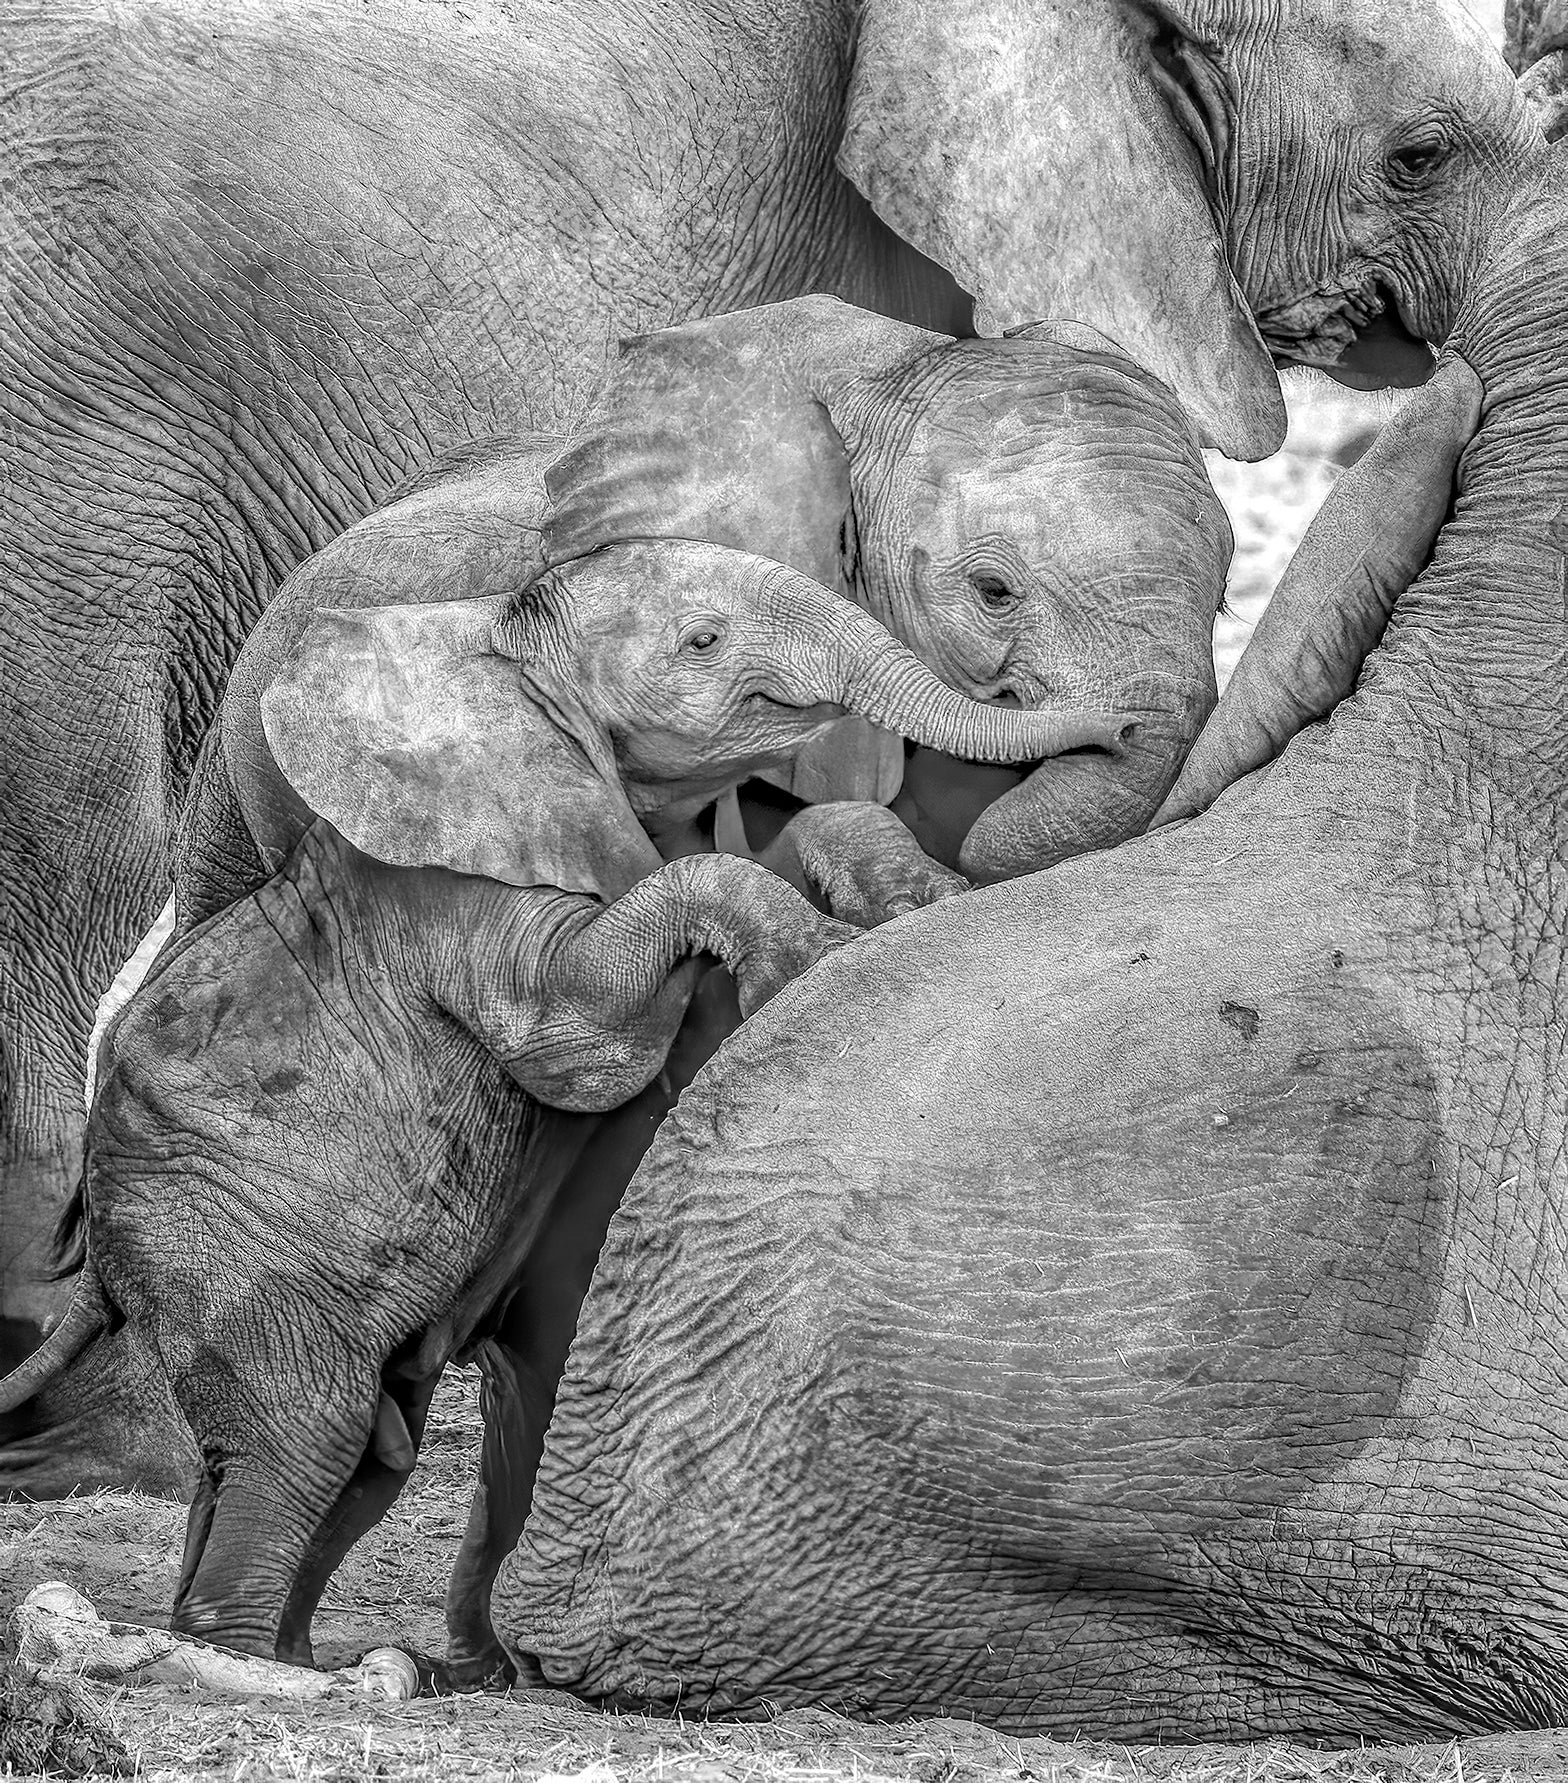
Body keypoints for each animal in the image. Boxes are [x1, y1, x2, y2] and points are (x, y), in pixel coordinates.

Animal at [6, 531, 1120, 1668]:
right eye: (702, 639)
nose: (1114, 727)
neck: (507, 652)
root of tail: (101, 1265)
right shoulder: (458, 900)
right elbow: (586, 1034)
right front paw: (810, 962)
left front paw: (912, 901)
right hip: (220, 1252)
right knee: (305, 1433)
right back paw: (252, 1657)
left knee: (359, 1456)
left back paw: (297, 1652)